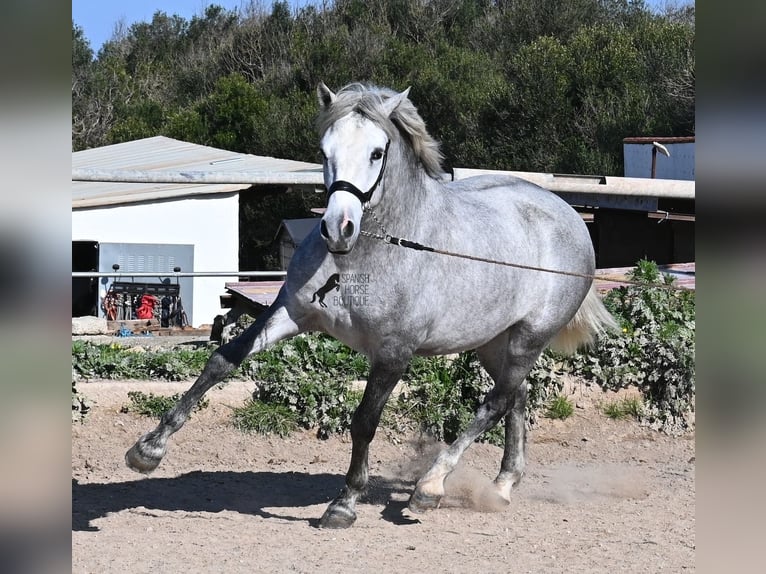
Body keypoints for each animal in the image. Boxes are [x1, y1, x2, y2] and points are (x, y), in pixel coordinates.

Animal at [126, 81, 616, 532]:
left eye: (378, 153)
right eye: (324, 150)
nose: (337, 228)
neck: (372, 251)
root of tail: (567, 214)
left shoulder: (394, 352)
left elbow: (364, 421)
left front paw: (344, 505)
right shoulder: (292, 313)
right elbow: (222, 361)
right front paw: (147, 450)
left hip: (529, 338)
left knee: (494, 402)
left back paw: (429, 488)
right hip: (493, 341)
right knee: (517, 397)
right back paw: (501, 486)